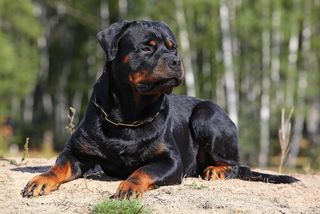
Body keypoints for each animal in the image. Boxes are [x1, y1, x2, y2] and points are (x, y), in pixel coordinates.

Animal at [21, 20, 298, 199]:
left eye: (173, 47)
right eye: (147, 47)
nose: (176, 61)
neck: (129, 116)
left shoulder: (170, 161)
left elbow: (143, 170)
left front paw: (129, 186)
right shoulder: (76, 153)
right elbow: (59, 166)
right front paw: (41, 179)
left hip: (207, 115)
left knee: (235, 165)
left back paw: (215, 170)